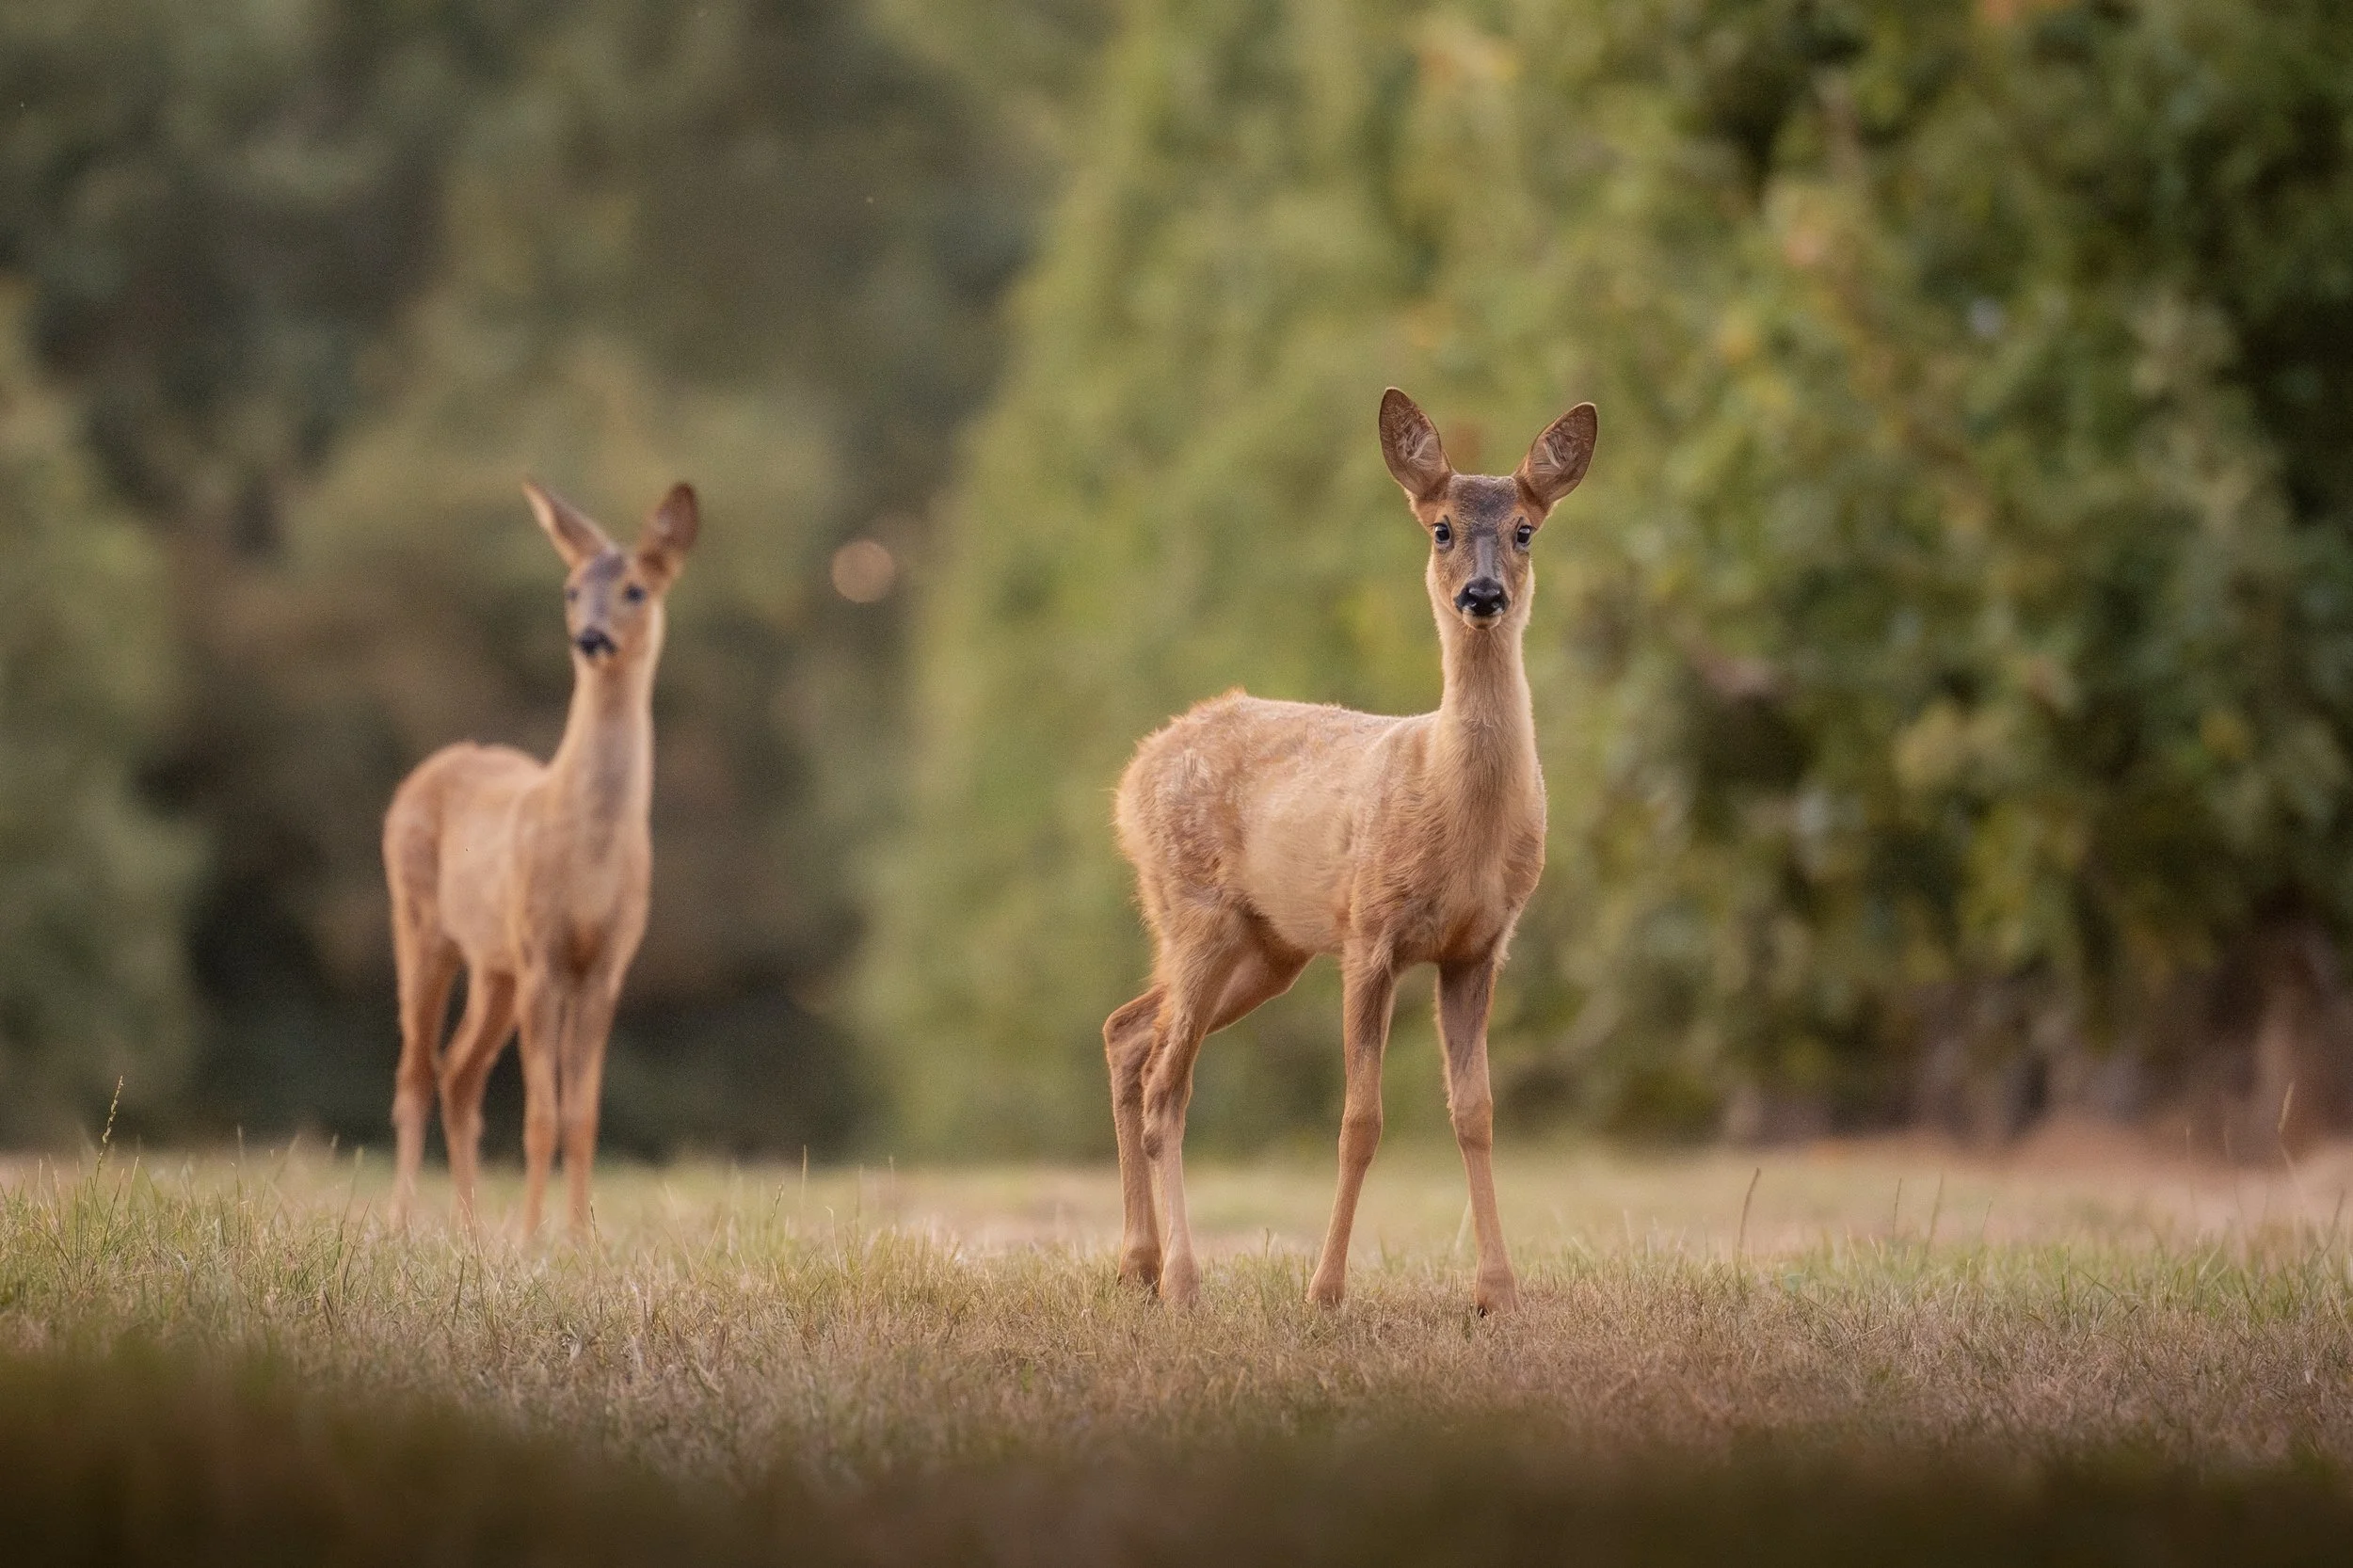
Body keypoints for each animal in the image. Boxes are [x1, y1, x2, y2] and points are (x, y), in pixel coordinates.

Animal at [384, 480, 698, 1236]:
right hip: (423, 924)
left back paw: (468, 1229)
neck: (590, 852)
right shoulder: (542, 955)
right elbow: (541, 1116)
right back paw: (400, 1222)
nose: (591, 637)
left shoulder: (606, 965)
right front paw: (531, 1242)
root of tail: (425, 770)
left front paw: (581, 1241)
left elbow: (581, 1117)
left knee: (458, 1071)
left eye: (637, 589)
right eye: (571, 588)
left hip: (494, 965)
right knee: (415, 1073)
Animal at [1104, 389, 1596, 1312]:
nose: (1482, 594)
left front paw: (1497, 1293)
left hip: (1269, 946)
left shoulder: (1479, 946)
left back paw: (1138, 1266)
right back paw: (1184, 1280)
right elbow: (1359, 1121)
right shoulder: (1370, 933)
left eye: (1524, 529)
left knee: (1127, 1032)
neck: (1453, 807)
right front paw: (1325, 1291)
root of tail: (1134, 772)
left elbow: (1475, 1113)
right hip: (1196, 912)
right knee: (1165, 1084)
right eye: (1441, 528)